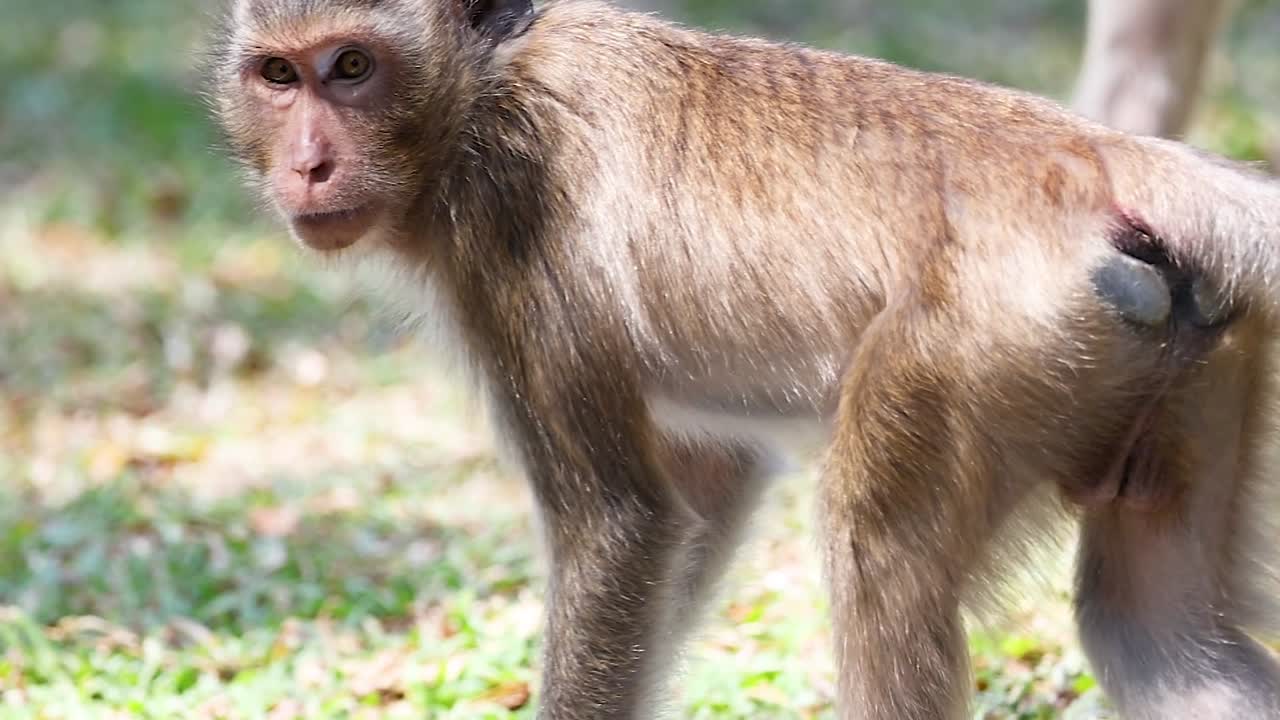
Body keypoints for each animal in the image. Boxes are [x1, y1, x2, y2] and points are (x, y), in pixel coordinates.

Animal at [209, 1, 1280, 718]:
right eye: (279, 76)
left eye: (353, 66)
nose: (308, 164)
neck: (481, 83)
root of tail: (1103, 154)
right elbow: (709, 479)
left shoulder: (512, 216)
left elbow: (622, 523)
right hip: (1190, 358)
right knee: (1154, 635)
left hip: (984, 340)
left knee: (877, 547)